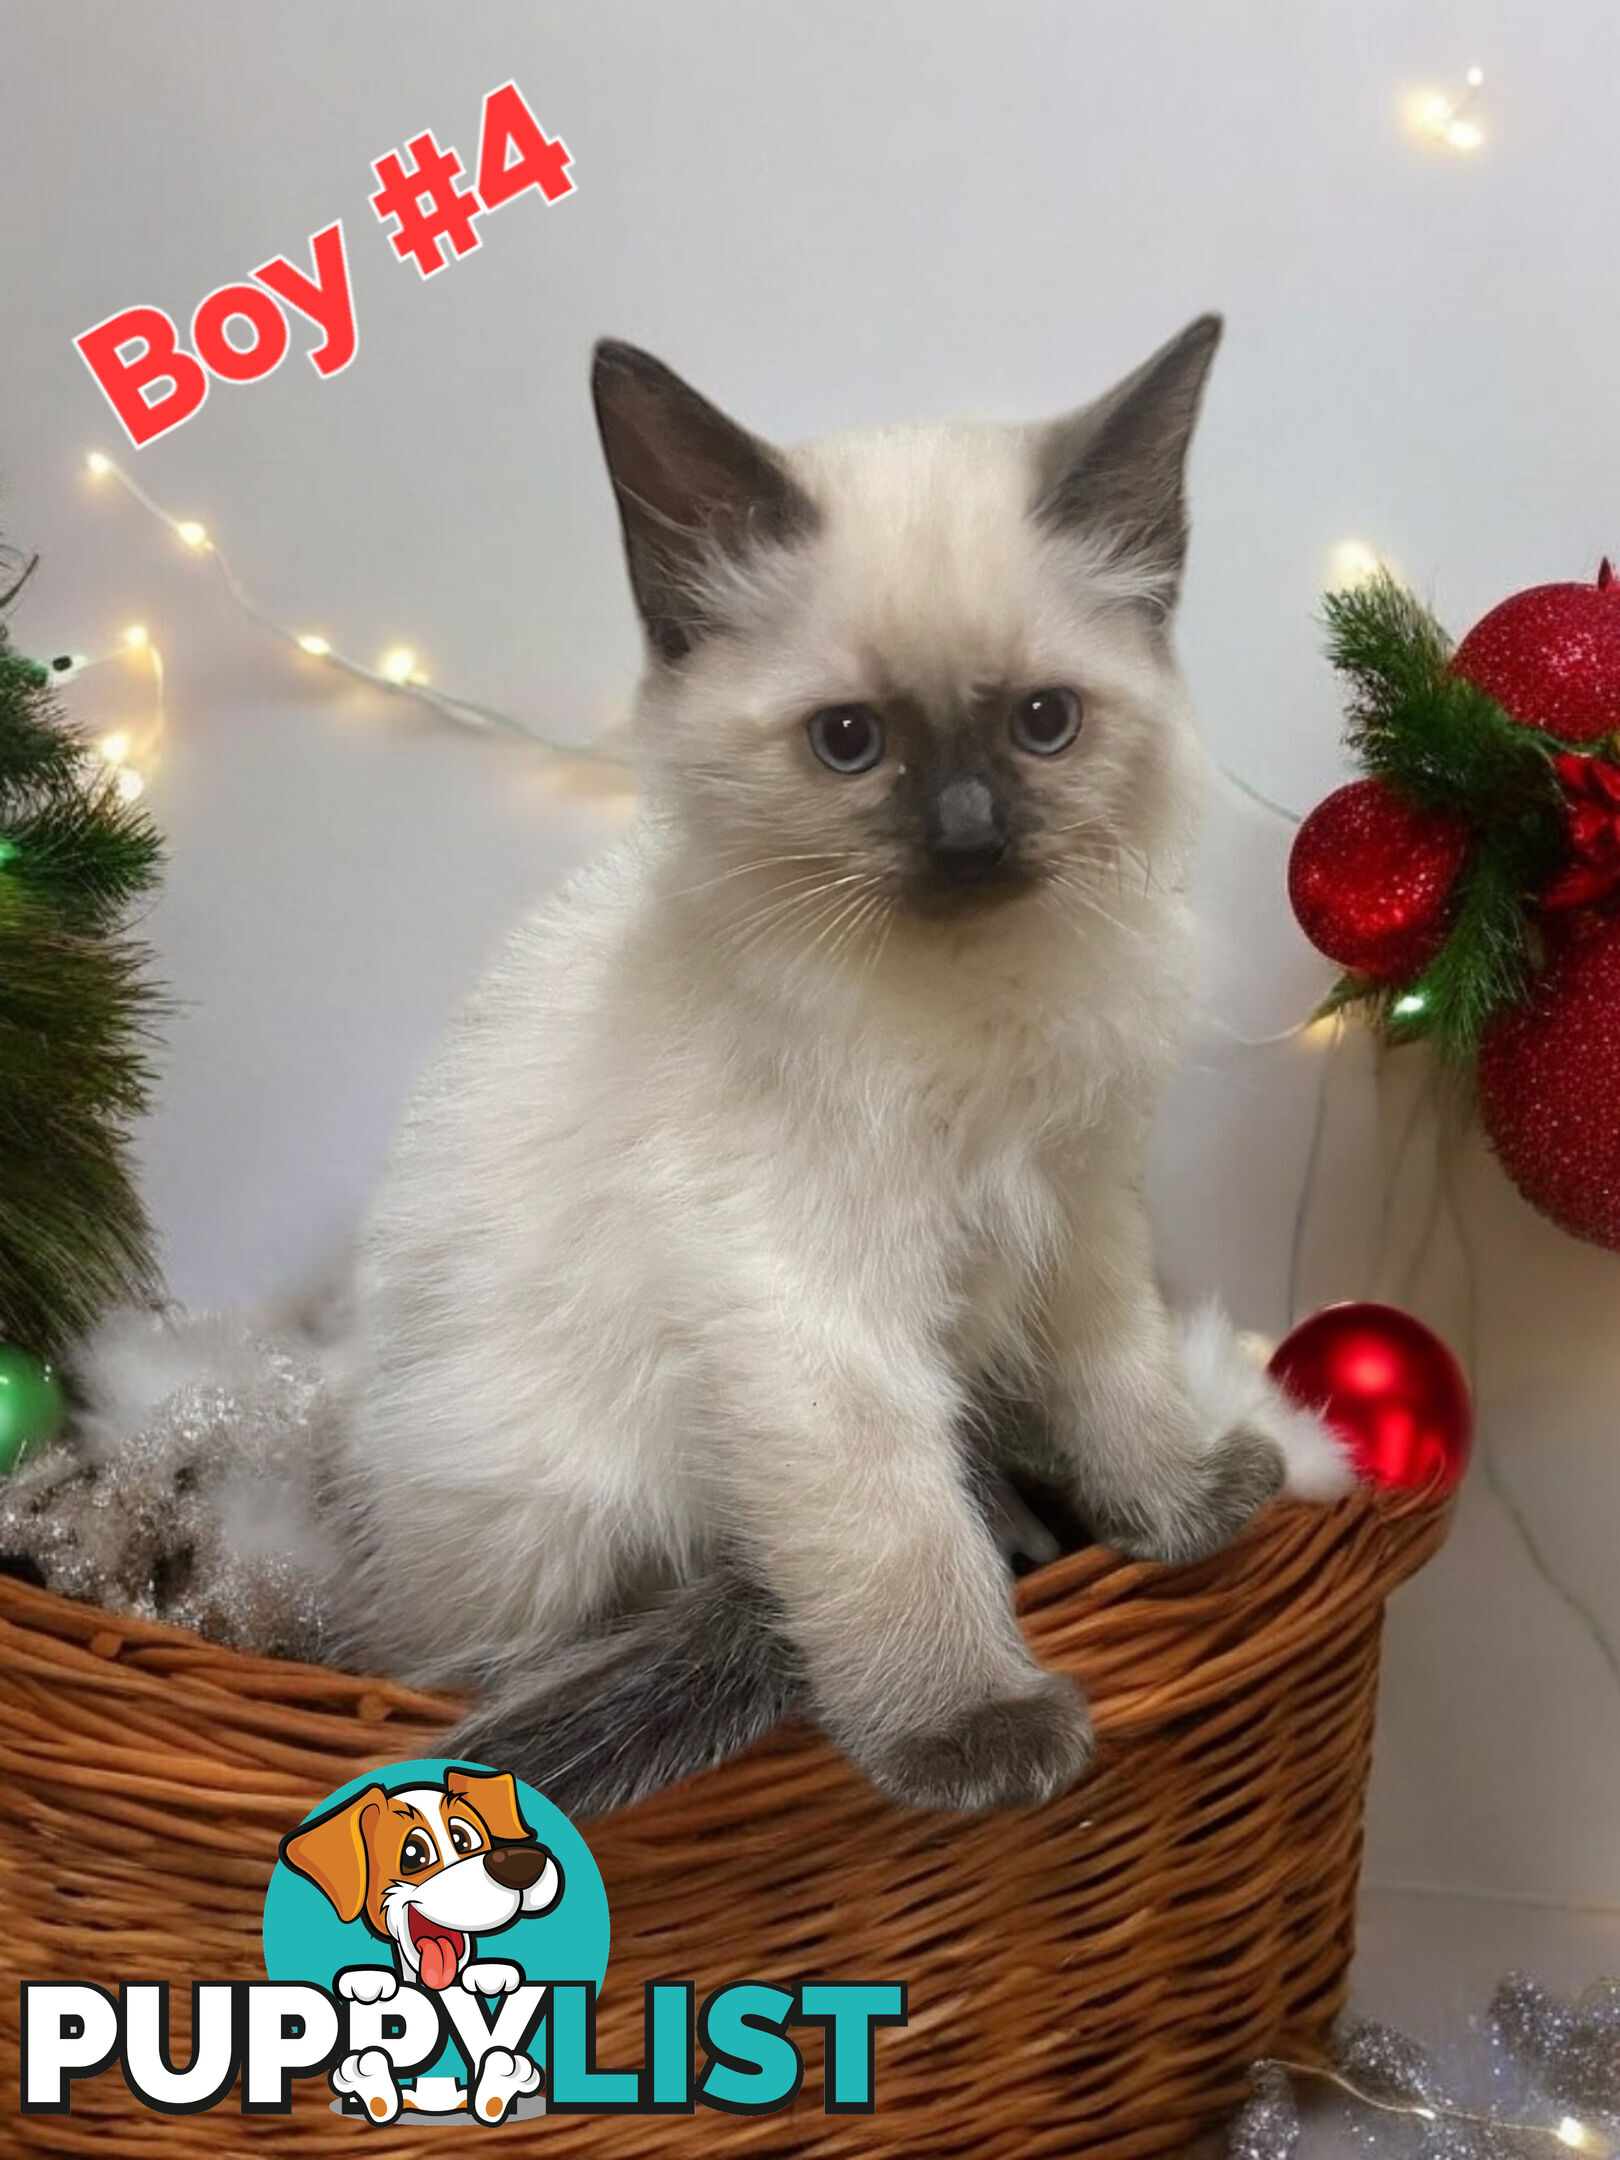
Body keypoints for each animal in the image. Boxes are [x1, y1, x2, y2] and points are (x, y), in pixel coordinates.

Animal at [313, 315, 1347, 1805]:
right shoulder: (812, 1301)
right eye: (850, 742)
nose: (970, 834)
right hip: (556, 1519)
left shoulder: (1080, 1207)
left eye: (1044, 724)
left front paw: (1185, 1507)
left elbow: (1119, 1377)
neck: (968, 1003)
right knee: (547, 1643)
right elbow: (891, 1522)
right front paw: (972, 1729)